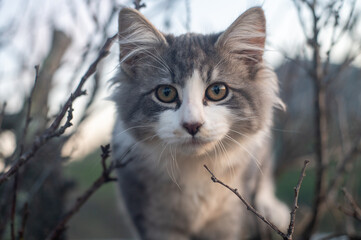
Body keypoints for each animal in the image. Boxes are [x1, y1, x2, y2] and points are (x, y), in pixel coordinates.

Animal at [111, 6, 288, 239]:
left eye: (217, 91)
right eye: (166, 93)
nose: (192, 125)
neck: (195, 169)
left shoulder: (229, 217)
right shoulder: (152, 219)